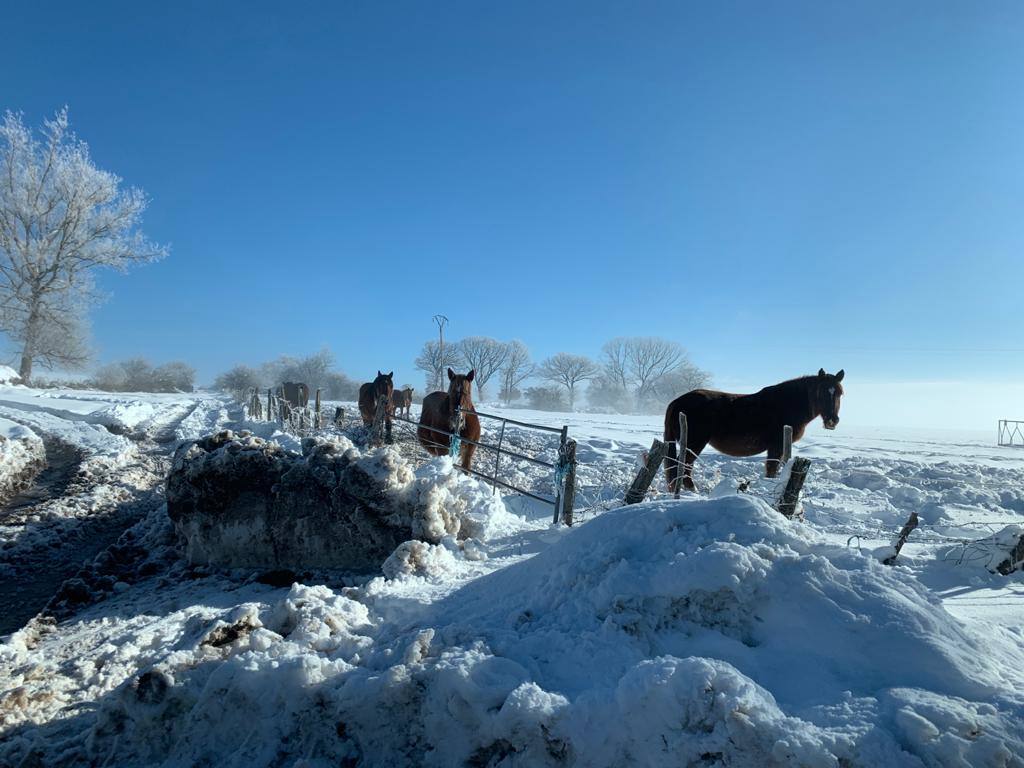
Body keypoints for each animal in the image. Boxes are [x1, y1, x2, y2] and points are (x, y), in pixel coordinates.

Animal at [663, 372, 847, 493]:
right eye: (822, 392)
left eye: (839, 393)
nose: (832, 420)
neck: (787, 404)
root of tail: (676, 402)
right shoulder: (776, 446)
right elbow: (771, 470)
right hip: (694, 443)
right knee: (683, 467)